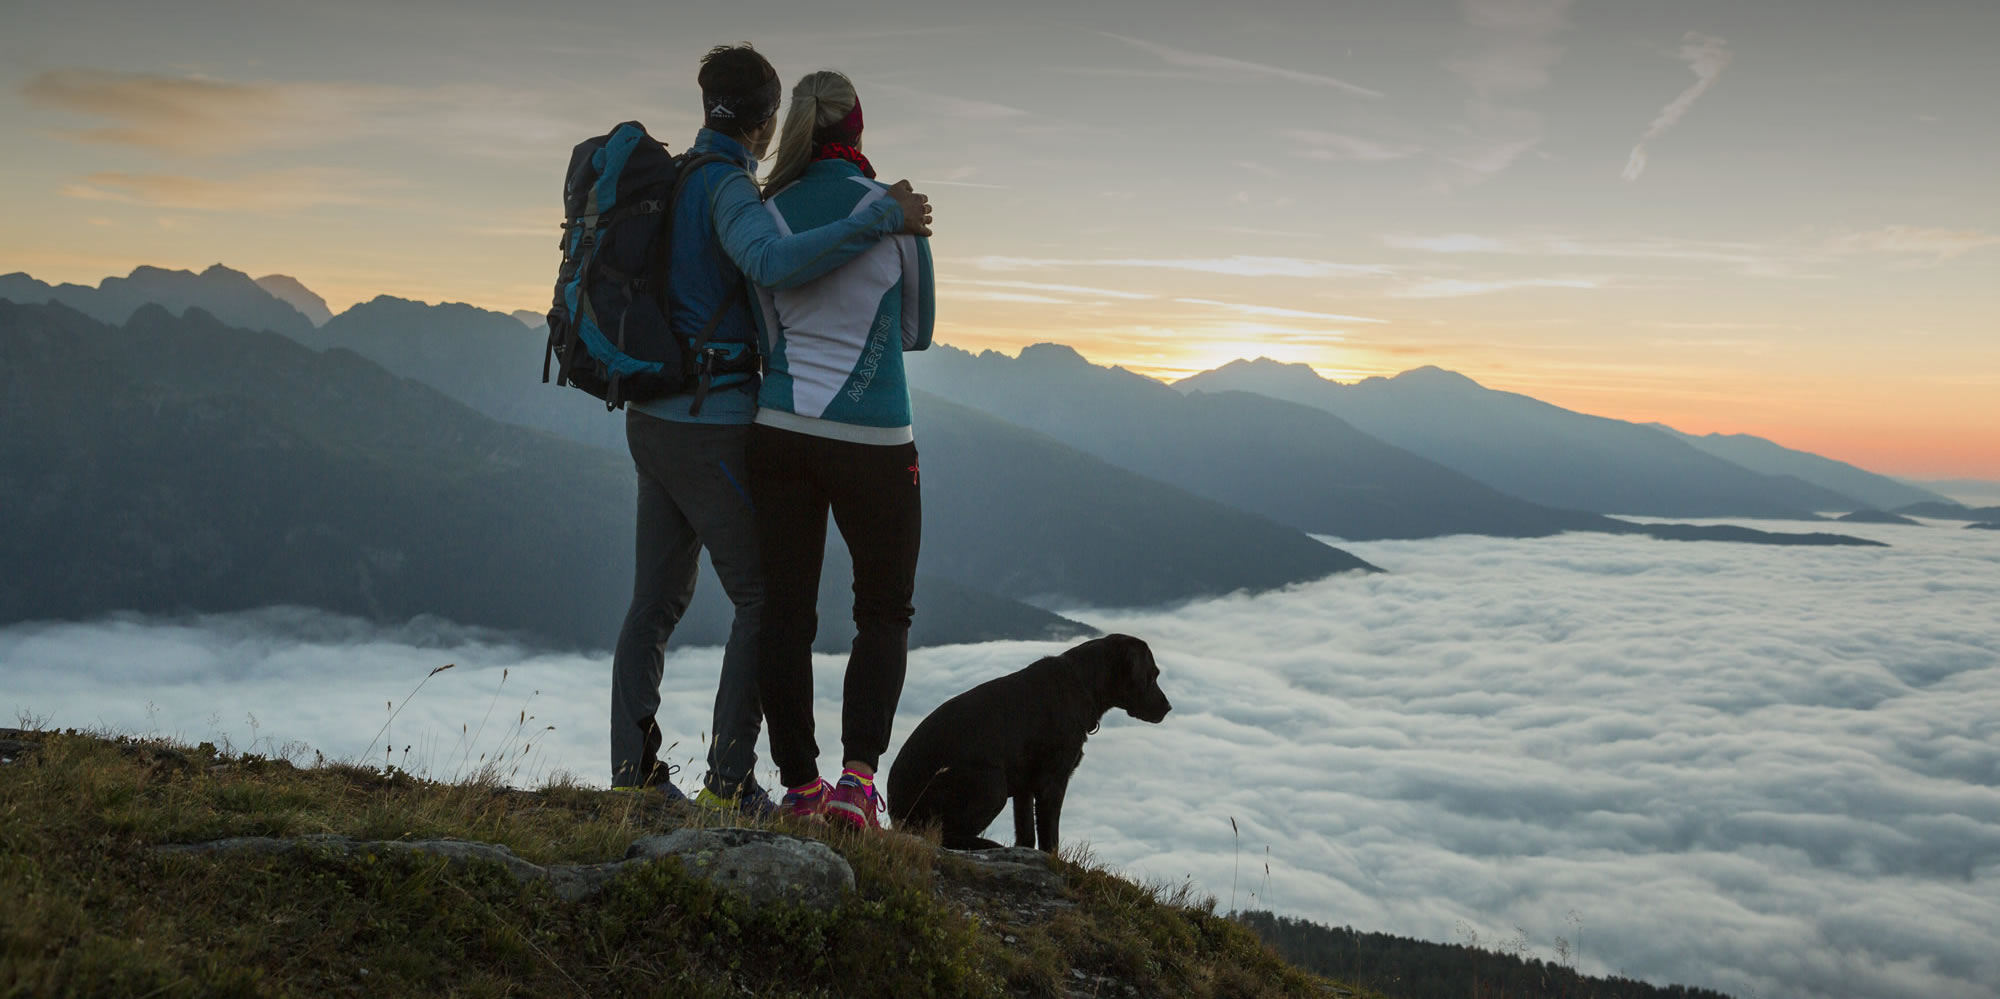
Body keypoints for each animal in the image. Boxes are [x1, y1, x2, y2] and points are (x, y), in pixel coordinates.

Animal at [892, 631, 1168, 851]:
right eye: (1152, 674)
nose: (1168, 707)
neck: (1080, 684)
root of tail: (898, 814)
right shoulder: (1052, 783)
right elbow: (1050, 837)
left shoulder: (1024, 788)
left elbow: (1026, 834)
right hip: (993, 785)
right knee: (943, 834)